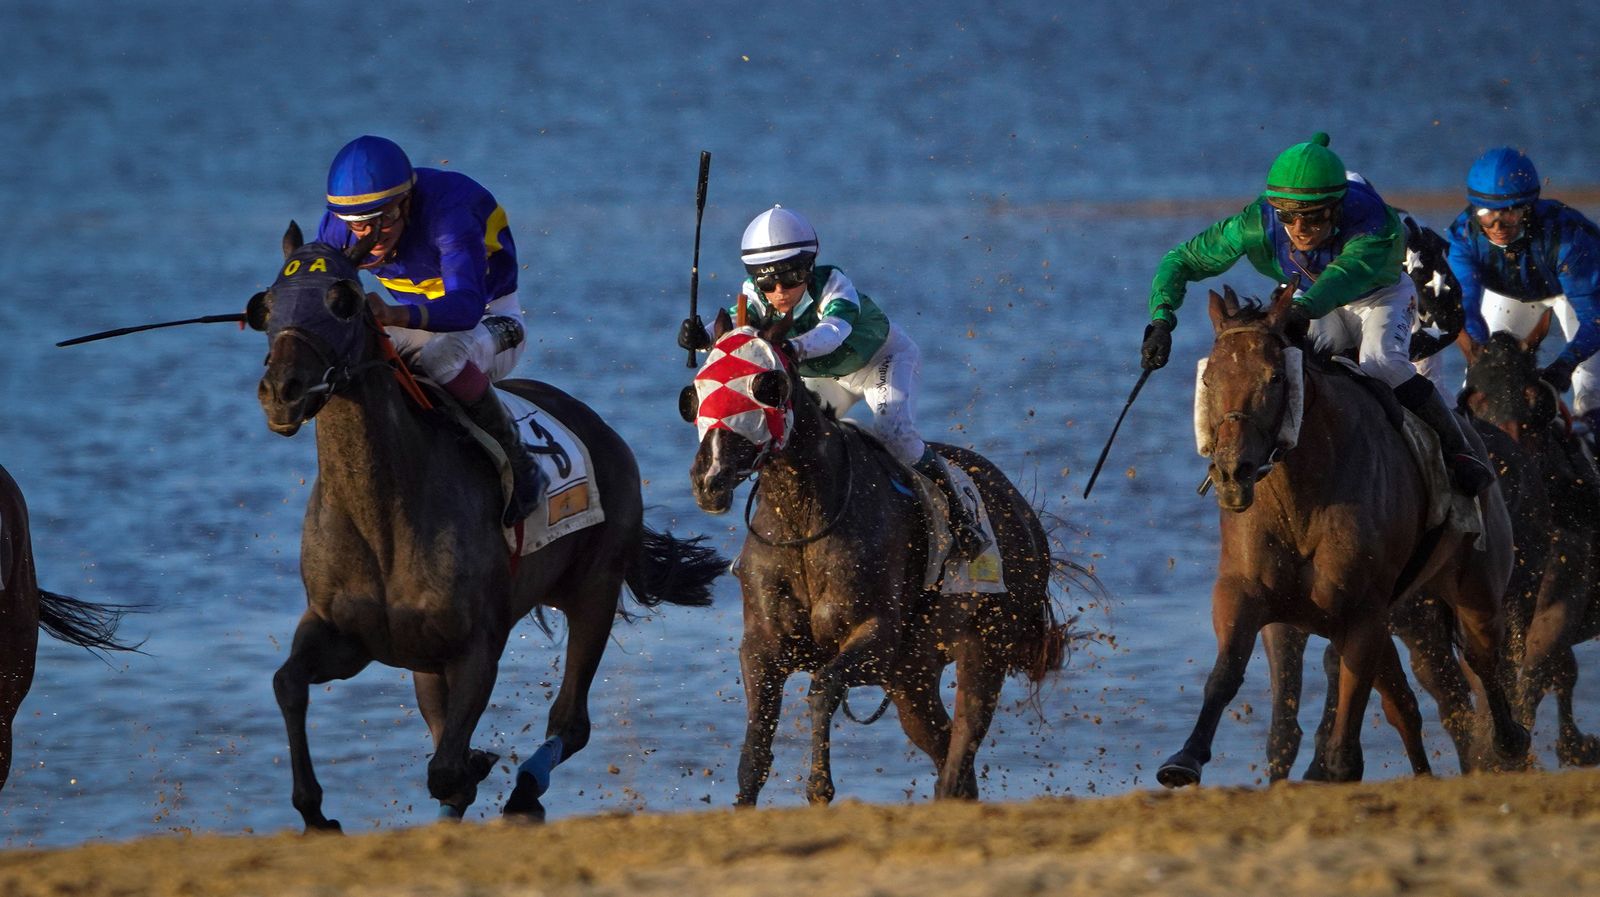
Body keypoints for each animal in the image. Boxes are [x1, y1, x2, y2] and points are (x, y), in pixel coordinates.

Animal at [249, 222, 723, 829]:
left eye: (343, 300)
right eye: (267, 304)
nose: (281, 391)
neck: (382, 515)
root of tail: (601, 428)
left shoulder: (477, 643)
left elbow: (448, 767)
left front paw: (477, 766)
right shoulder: (350, 633)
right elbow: (288, 683)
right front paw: (316, 812)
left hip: (593, 587)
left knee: (571, 720)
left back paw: (526, 788)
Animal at [684, 310, 1093, 803]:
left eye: (767, 386)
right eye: (695, 392)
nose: (710, 478)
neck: (804, 521)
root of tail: (1023, 511)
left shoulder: (876, 640)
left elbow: (823, 688)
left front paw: (819, 786)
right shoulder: (763, 649)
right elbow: (755, 755)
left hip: (986, 646)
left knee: (960, 750)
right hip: (912, 676)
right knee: (949, 757)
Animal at [1158, 283, 1529, 787]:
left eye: (1276, 378)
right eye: (1209, 379)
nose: (1233, 472)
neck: (1303, 498)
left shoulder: (1360, 614)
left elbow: (1349, 712)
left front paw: (1333, 768)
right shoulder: (1249, 595)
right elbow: (1227, 672)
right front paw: (1186, 757)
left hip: (1476, 589)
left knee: (1483, 658)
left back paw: (1510, 740)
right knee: (1406, 707)